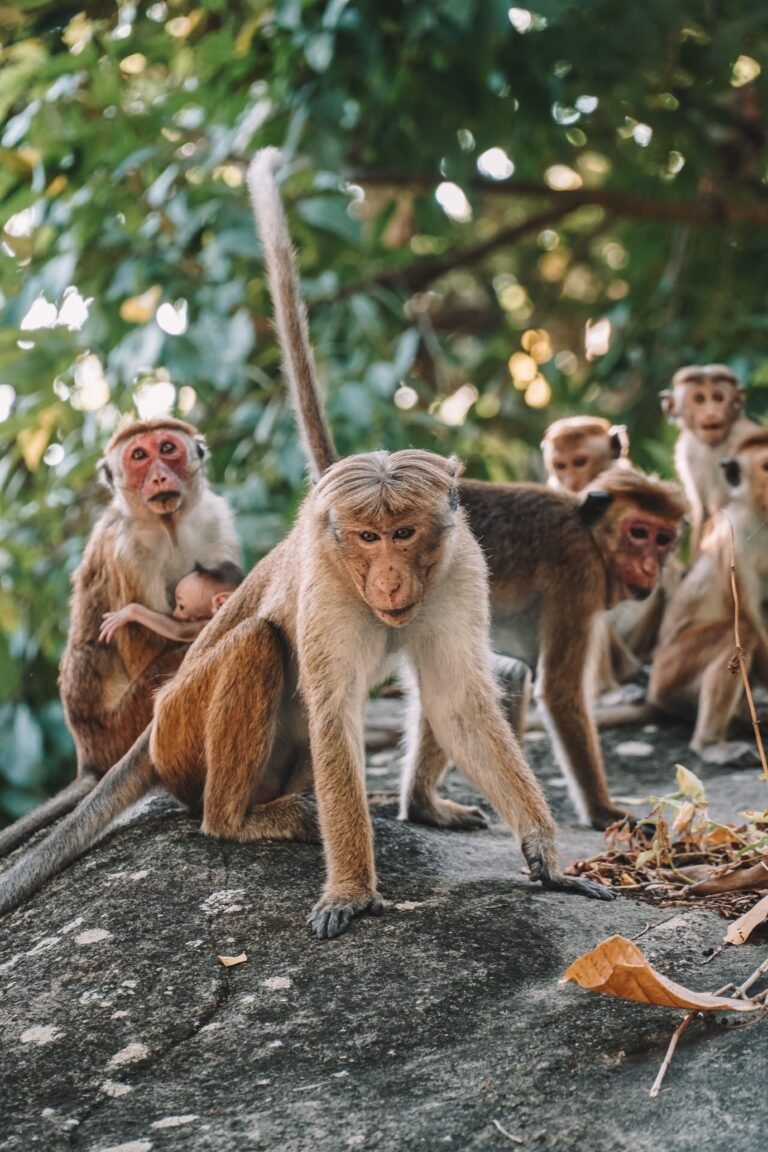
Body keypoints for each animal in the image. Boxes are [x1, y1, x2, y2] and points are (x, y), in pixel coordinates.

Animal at [648, 429, 768, 765]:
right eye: (767, 466)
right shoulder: (737, 535)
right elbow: (748, 612)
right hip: (671, 672)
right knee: (741, 634)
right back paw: (711, 743)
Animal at [661, 364, 758, 559]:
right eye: (699, 399)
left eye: (718, 398)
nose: (711, 412)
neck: (713, 444)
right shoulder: (687, 450)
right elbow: (702, 511)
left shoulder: (743, 434)